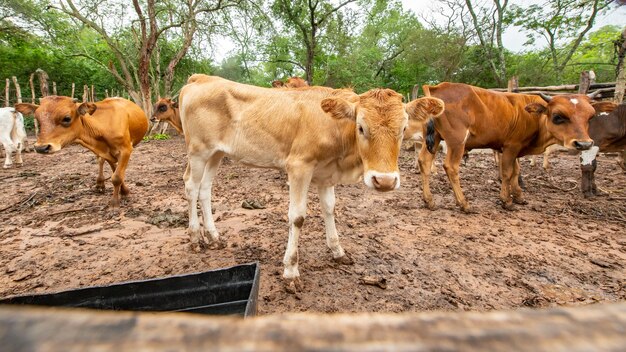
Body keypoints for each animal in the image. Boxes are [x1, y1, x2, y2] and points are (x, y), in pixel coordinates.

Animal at [15, 95, 147, 206]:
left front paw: (116, 201)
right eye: (37, 119)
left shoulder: (126, 149)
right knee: (100, 161)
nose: (41, 148)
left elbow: (117, 176)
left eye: (67, 118)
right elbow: (114, 171)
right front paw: (122, 192)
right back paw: (100, 183)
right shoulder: (106, 152)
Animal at [180, 74, 444, 292]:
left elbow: (330, 209)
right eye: (361, 127)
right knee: (191, 186)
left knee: (205, 189)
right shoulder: (299, 167)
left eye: (403, 129)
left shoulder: (326, 173)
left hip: (216, 153)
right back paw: (195, 238)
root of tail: (201, 78)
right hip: (198, 151)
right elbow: (297, 217)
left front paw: (337, 251)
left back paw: (213, 237)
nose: (385, 181)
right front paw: (290, 271)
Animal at [416, 82, 596, 212]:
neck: (532, 116)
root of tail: (436, 88)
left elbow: (516, 171)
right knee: (451, 167)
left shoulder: (513, 148)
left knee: (424, 162)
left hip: (433, 139)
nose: (584, 143)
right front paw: (507, 201)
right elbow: (507, 172)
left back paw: (429, 201)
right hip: (456, 142)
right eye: (558, 116)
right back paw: (464, 204)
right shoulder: (511, 146)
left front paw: (518, 196)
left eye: (590, 117)